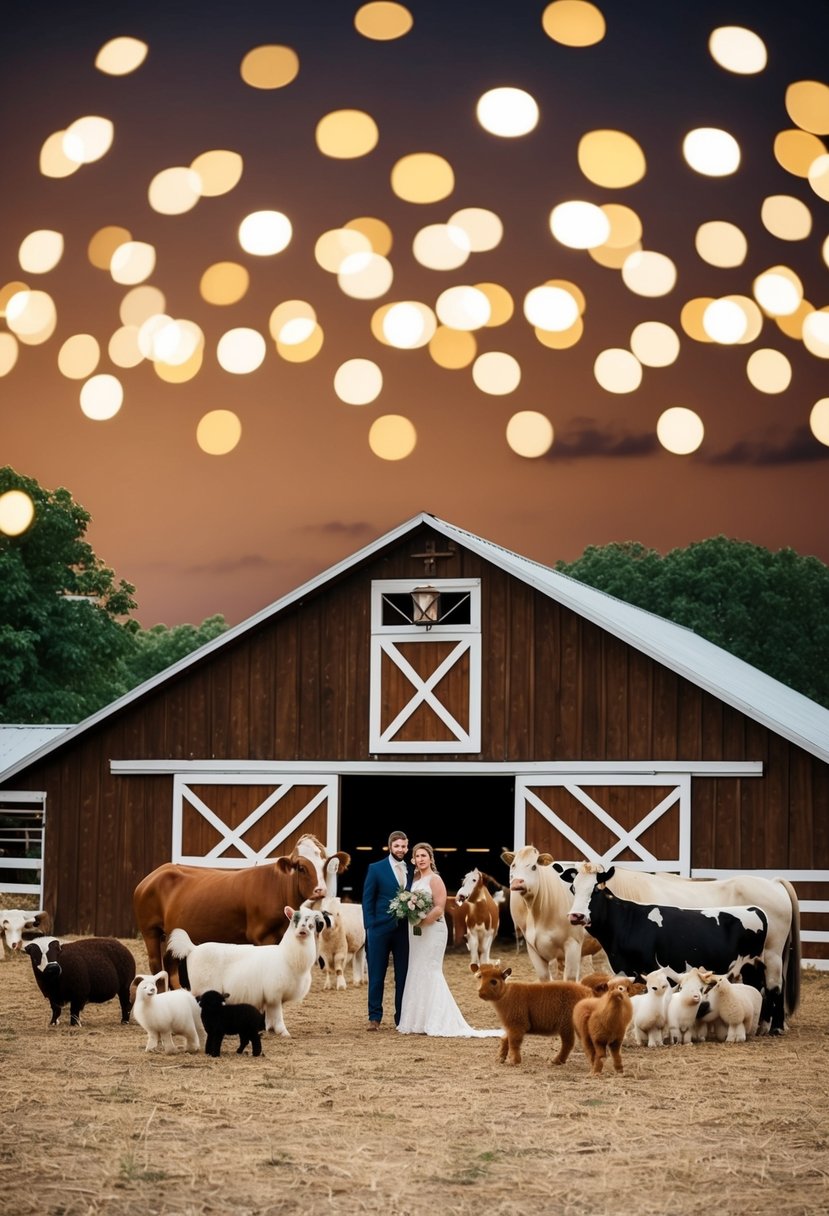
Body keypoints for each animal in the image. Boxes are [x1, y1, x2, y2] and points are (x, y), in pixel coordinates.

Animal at [131, 831, 347, 972]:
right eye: (301, 867)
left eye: (325, 865)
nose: (320, 890)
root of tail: (158, 872)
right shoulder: (262, 937)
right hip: (150, 930)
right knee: (156, 965)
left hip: (171, 932)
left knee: (170, 963)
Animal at [166, 904, 328, 1036]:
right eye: (295, 919)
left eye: (311, 921)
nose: (303, 929)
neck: (287, 956)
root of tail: (193, 948)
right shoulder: (274, 994)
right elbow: (277, 1015)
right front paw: (283, 1032)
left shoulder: (271, 998)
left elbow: (271, 1015)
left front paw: (270, 1029)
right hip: (203, 988)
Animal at [559, 865, 763, 997]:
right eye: (573, 888)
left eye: (595, 889)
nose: (576, 915)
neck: (628, 922)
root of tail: (754, 909)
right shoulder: (623, 969)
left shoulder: (653, 969)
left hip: (758, 963)